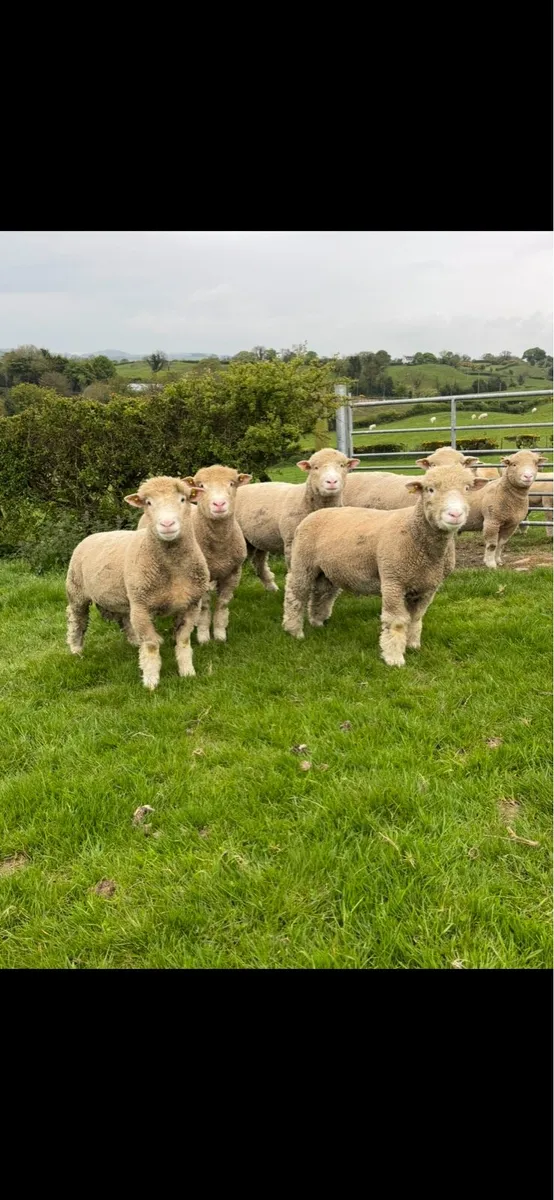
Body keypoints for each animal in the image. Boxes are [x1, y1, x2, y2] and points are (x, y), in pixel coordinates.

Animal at [66, 476, 210, 690]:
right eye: (148, 503)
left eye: (183, 499)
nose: (167, 523)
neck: (173, 570)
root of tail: (94, 535)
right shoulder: (141, 608)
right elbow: (150, 645)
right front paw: (151, 680)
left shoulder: (192, 604)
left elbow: (183, 641)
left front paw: (187, 672)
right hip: (76, 591)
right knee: (77, 620)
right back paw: (76, 649)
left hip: (125, 596)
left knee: (125, 620)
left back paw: (134, 641)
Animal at [234, 448, 360, 591]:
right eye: (315, 467)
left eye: (342, 465)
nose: (332, 482)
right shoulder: (291, 542)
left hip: (258, 538)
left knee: (258, 562)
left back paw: (271, 588)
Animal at [282, 465, 487, 666]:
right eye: (430, 489)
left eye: (467, 488)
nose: (455, 514)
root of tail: (316, 513)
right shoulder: (393, 581)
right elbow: (397, 621)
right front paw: (394, 657)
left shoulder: (428, 586)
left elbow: (416, 618)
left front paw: (413, 645)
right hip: (303, 562)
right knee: (295, 594)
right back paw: (294, 630)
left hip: (327, 570)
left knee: (321, 593)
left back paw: (317, 622)